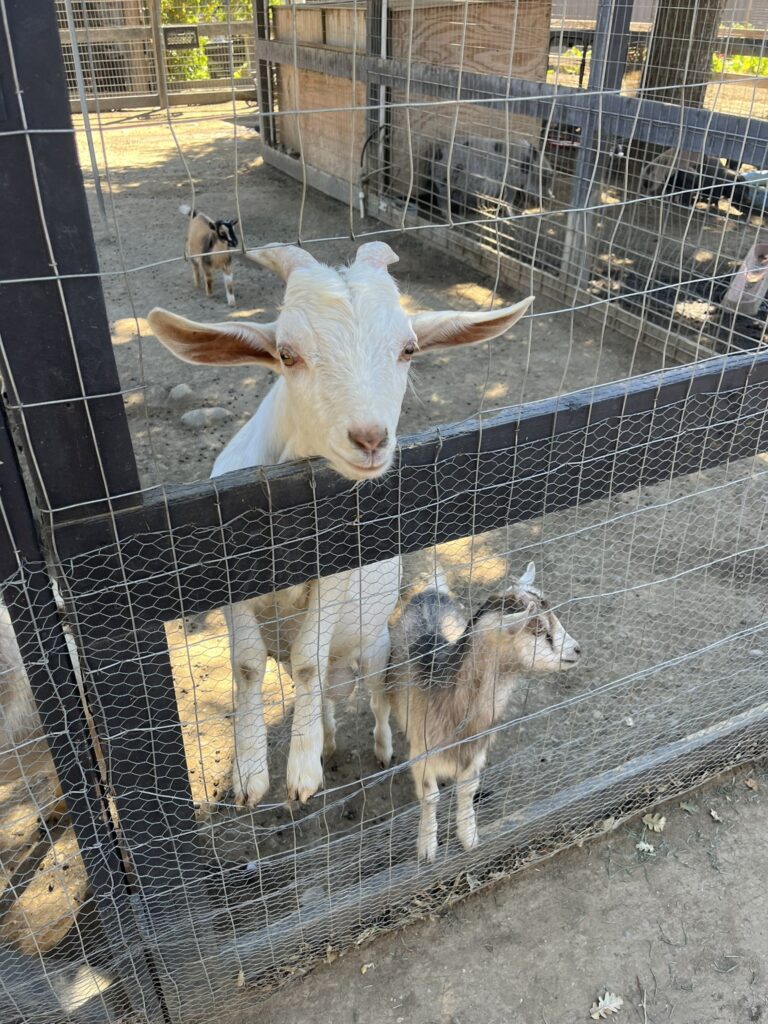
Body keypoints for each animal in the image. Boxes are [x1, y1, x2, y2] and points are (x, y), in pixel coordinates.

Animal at [147, 242, 534, 806]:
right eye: (287, 354)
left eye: (409, 349)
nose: (370, 439)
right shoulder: (230, 578)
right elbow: (247, 665)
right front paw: (250, 776)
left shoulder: (333, 576)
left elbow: (308, 657)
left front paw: (300, 773)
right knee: (325, 690)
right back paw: (327, 740)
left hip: (376, 647)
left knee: (369, 693)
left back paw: (379, 748)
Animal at [383, 562, 580, 862]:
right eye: (537, 631)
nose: (577, 650)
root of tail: (431, 591)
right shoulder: (421, 752)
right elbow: (430, 797)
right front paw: (427, 847)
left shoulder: (475, 751)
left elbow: (468, 789)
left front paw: (468, 837)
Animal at [420, 136, 555, 220]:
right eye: (546, 180)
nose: (551, 198)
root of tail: (436, 155)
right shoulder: (511, 183)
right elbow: (509, 200)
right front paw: (512, 216)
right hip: (446, 181)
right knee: (441, 199)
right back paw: (449, 217)